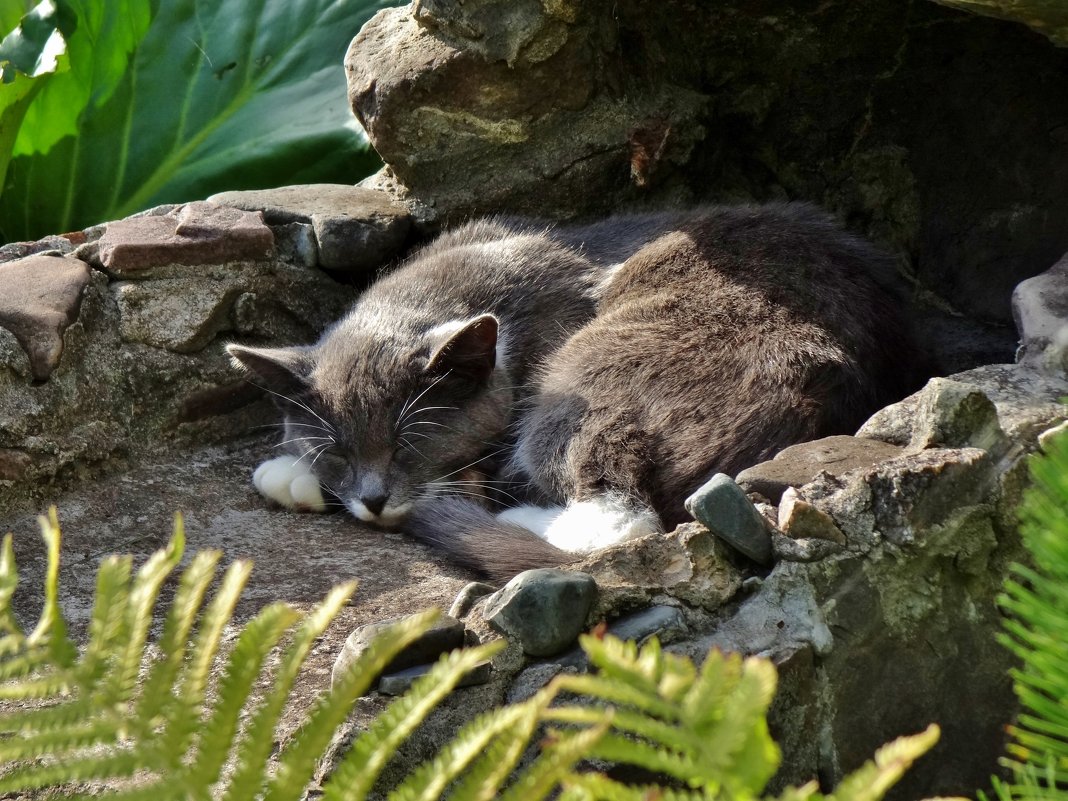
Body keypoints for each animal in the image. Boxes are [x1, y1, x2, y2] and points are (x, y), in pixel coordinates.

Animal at [229, 203, 922, 580]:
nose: (373, 501)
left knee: (619, 517)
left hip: (590, 372)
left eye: (408, 446)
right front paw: (296, 472)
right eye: (338, 453)